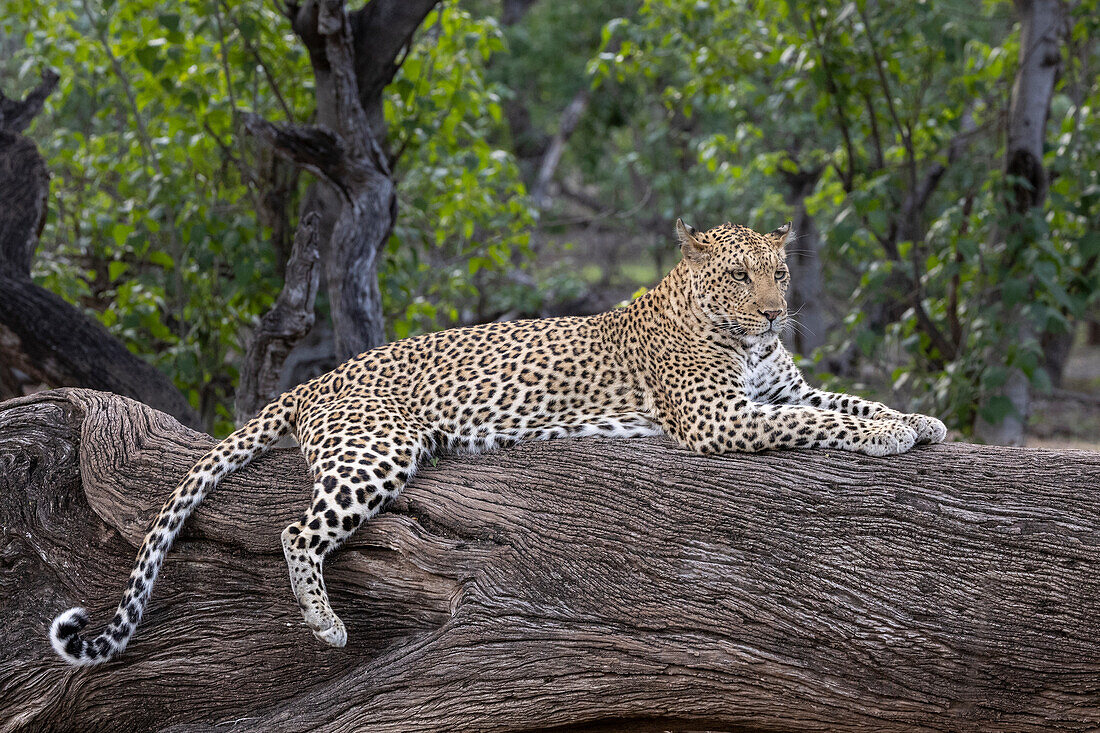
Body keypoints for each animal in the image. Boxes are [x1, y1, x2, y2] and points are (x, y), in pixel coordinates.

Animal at [49, 215, 946, 660]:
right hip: (378, 450)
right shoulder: (717, 418)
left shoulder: (776, 390)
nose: (772, 312)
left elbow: (843, 399)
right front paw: (894, 433)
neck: (741, 339)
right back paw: (327, 625)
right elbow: (823, 420)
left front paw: (918, 418)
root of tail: (317, 378)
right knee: (295, 529)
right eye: (738, 274)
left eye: (779, 273)